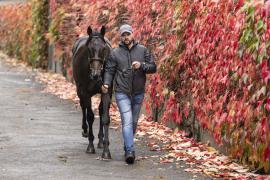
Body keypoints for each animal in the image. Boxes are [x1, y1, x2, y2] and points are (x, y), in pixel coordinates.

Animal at [71, 25, 112, 159]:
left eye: (104, 48)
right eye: (89, 49)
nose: (96, 74)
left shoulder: (107, 91)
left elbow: (105, 117)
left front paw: (106, 150)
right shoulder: (85, 92)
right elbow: (90, 116)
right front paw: (90, 146)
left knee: (100, 109)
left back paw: (101, 141)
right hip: (79, 90)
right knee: (83, 107)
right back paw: (85, 130)